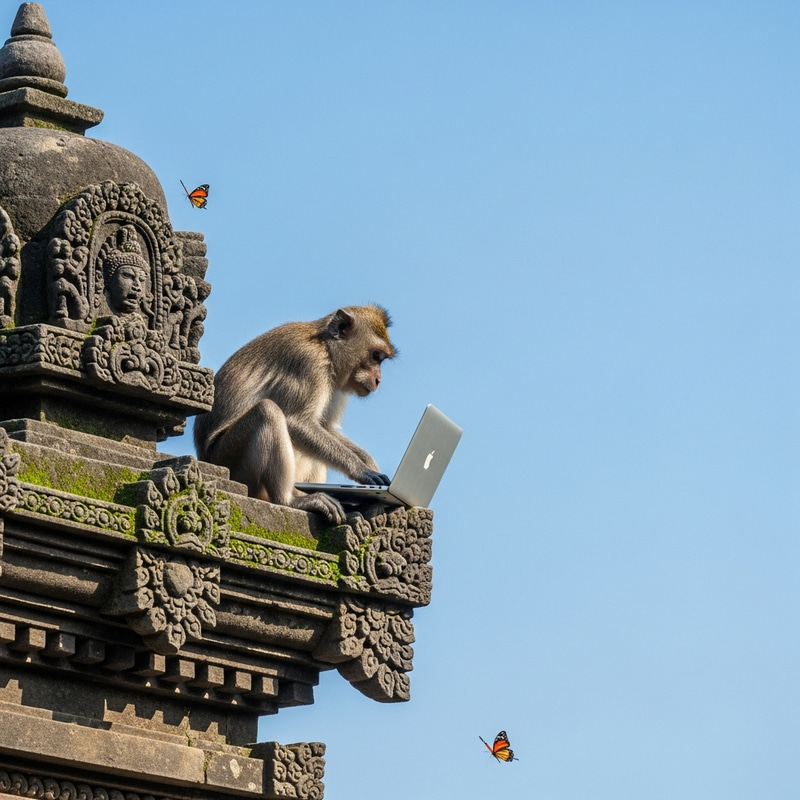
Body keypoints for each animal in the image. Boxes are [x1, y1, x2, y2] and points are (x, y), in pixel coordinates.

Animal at [194, 304, 395, 525]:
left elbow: (325, 427)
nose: (378, 380)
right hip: (230, 461)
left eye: (381, 359)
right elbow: (296, 422)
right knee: (268, 411)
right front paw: (362, 470)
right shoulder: (309, 364)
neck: (326, 348)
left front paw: (370, 463)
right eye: (376, 356)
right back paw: (290, 500)